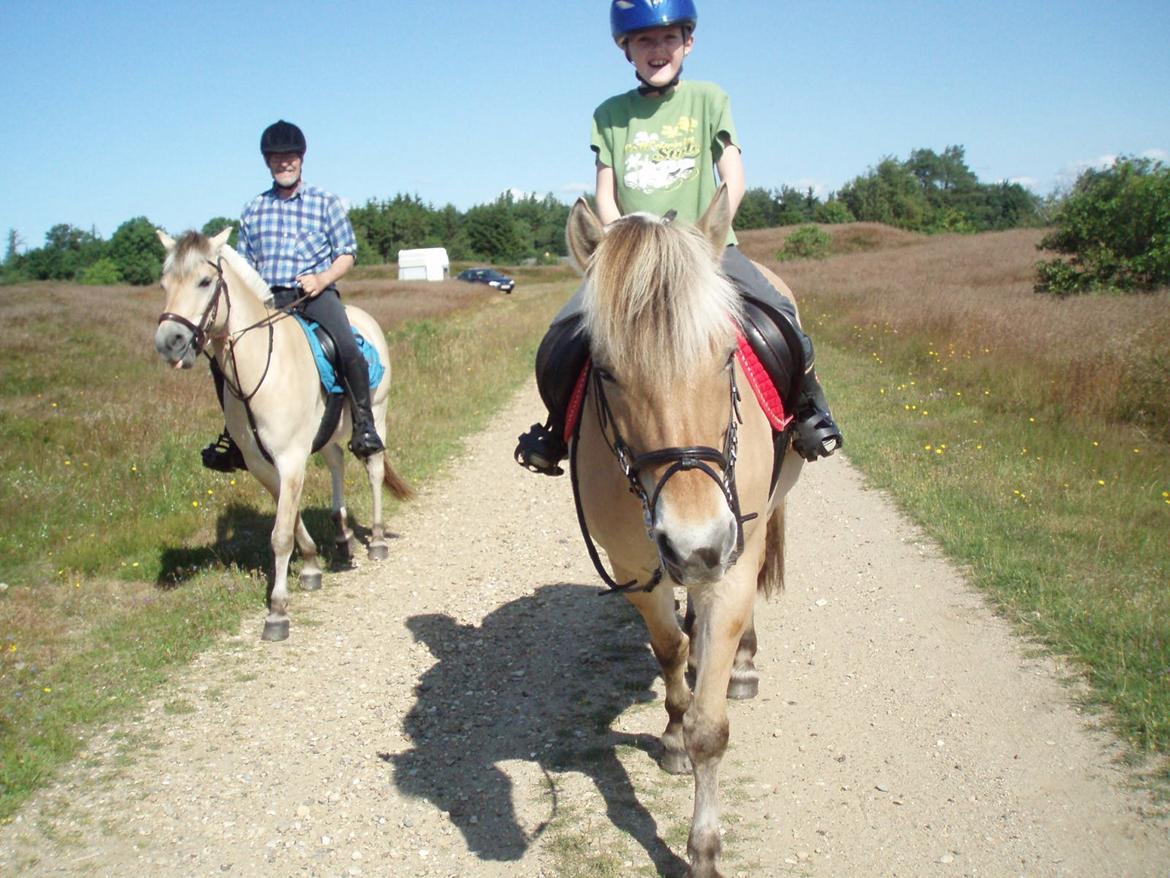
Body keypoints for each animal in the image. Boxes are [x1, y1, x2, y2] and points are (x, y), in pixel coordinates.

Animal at [153, 227, 414, 641]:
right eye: (164, 284)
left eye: (205, 281)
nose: (169, 341)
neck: (261, 366)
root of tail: (363, 318)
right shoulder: (264, 464)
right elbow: (288, 521)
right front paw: (310, 564)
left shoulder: (290, 459)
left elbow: (280, 534)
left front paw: (277, 611)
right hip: (326, 435)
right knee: (337, 462)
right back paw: (343, 538)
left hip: (378, 413)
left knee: (373, 469)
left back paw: (374, 539)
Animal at [566, 187, 804, 878]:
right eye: (607, 371)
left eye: (727, 354)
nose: (697, 544)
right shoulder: (634, 566)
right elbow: (669, 650)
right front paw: (671, 732)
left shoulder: (731, 560)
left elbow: (711, 727)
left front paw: (703, 849)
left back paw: (743, 662)